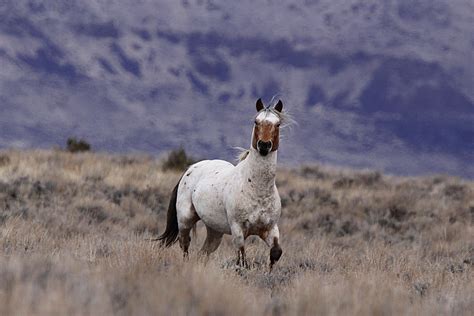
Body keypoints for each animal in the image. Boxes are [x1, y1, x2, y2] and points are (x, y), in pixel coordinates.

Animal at [158, 98, 288, 270]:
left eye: (278, 124)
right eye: (256, 121)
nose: (264, 145)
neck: (256, 190)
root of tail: (190, 168)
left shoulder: (270, 228)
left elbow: (276, 252)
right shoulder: (238, 230)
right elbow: (242, 261)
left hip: (214, 231)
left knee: (203, 252)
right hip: (185, 220)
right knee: (185, 245)